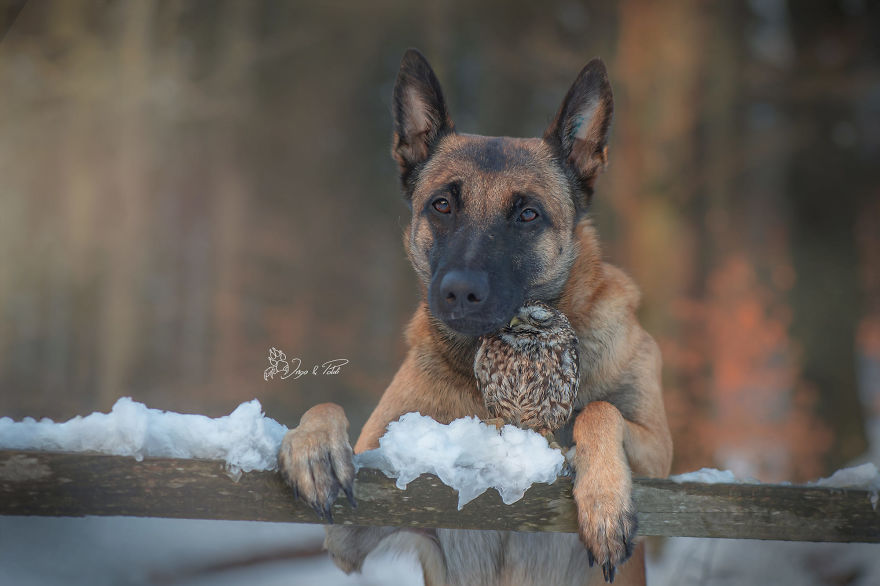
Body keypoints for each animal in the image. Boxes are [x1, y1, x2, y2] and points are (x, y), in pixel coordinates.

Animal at [278, 50, 672, 584]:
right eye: (442, 204)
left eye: (527, 214)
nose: (459, 293)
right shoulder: (363, 522)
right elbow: (327, 406)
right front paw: (312, 446)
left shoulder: (661, 456)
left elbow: (599, 410)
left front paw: (605, 499)